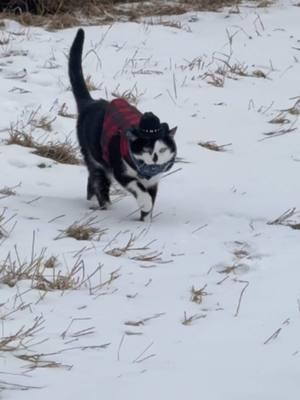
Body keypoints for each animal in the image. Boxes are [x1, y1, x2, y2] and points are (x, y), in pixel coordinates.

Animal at [68, 28, 176, 222]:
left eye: (162, 149)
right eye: (147, 149)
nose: (156, 158)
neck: (146, 171)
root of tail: (91, 103)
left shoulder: (154, 181)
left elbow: (152, 197)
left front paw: (146, 221)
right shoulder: (122, 172)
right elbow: (141, 193)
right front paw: (145, 205)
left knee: (92, 180)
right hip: (95, 157)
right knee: (98, 181)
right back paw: (104, 206)